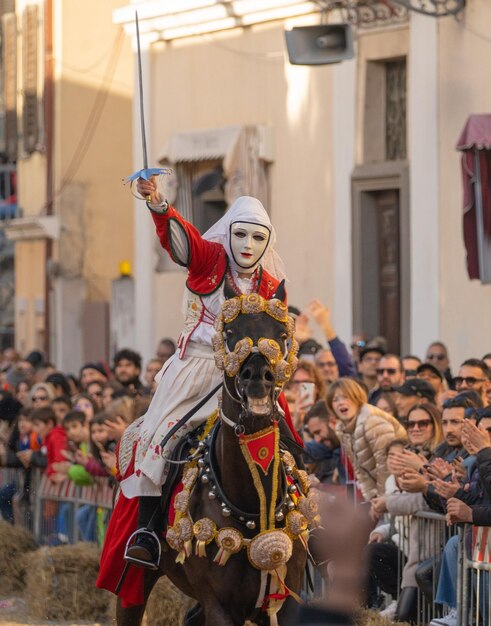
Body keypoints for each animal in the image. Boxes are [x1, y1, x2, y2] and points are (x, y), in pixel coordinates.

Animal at [117, 284, 308, 624]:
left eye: (282, 333)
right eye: (230, 331)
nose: (257, 378)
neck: (251, 503)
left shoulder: (286, 602)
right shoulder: (219, 605)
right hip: (131, 581)